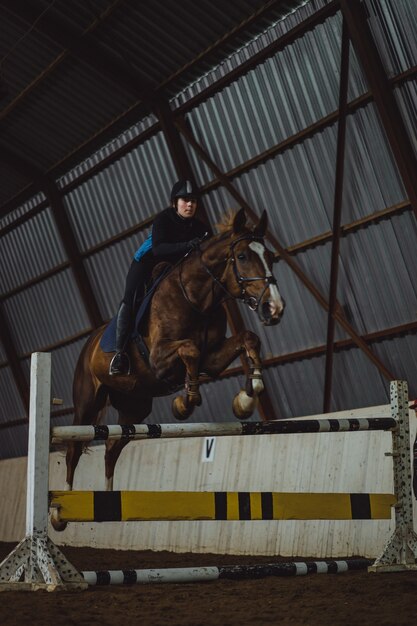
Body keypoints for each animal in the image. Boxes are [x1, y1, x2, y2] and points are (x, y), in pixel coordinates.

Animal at [49, 208, 282, 528]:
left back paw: (107, 502)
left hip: (135, 407)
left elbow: (248, 339)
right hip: (87, 402)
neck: (196, 298)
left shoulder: (212, 359)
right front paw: (186, 402)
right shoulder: (159, 360)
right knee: (74, 449)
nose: (275, 308)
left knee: (112, 449)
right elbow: (190, 349)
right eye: (243, 256)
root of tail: (89, 344)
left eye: (270, 255)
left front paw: (247, 398)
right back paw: (61, 511)